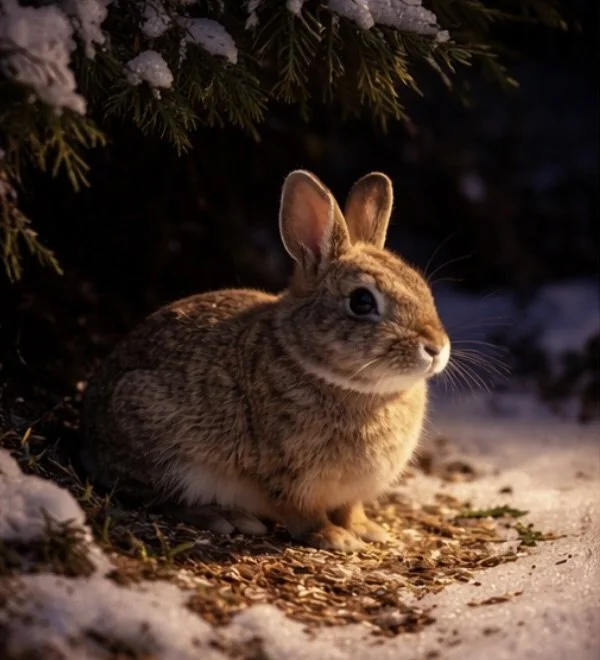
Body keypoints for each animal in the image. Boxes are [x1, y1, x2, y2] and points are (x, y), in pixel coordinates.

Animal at [80, 170, 451, 551]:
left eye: (423, 288)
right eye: (361, 302)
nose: (436, 347)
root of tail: (89, 438)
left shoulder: (350, 493)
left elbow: (350, 509)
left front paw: (368, 530)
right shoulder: (291, 477)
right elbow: (303, 514)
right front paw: (335, 538)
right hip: (159, 436)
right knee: (157, 495)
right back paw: (226, 517)